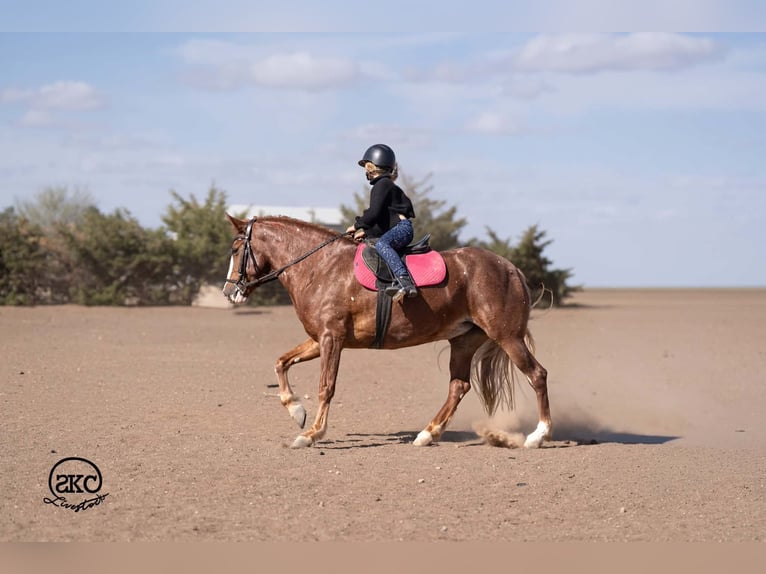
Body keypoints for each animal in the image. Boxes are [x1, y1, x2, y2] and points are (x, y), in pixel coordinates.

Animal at [222, 214, 551, 449]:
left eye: (237, 250)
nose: (229, 292)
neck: (321, 267)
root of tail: (510, 269)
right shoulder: (319, 339)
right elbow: (281, 362)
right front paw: (296, 411)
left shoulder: (331, 339)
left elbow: (326, 387)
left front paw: (312, 433)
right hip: (464, 341)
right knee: (458, 386)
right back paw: (427, 434)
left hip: (507, 337)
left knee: (537, 375)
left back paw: (539, 435)